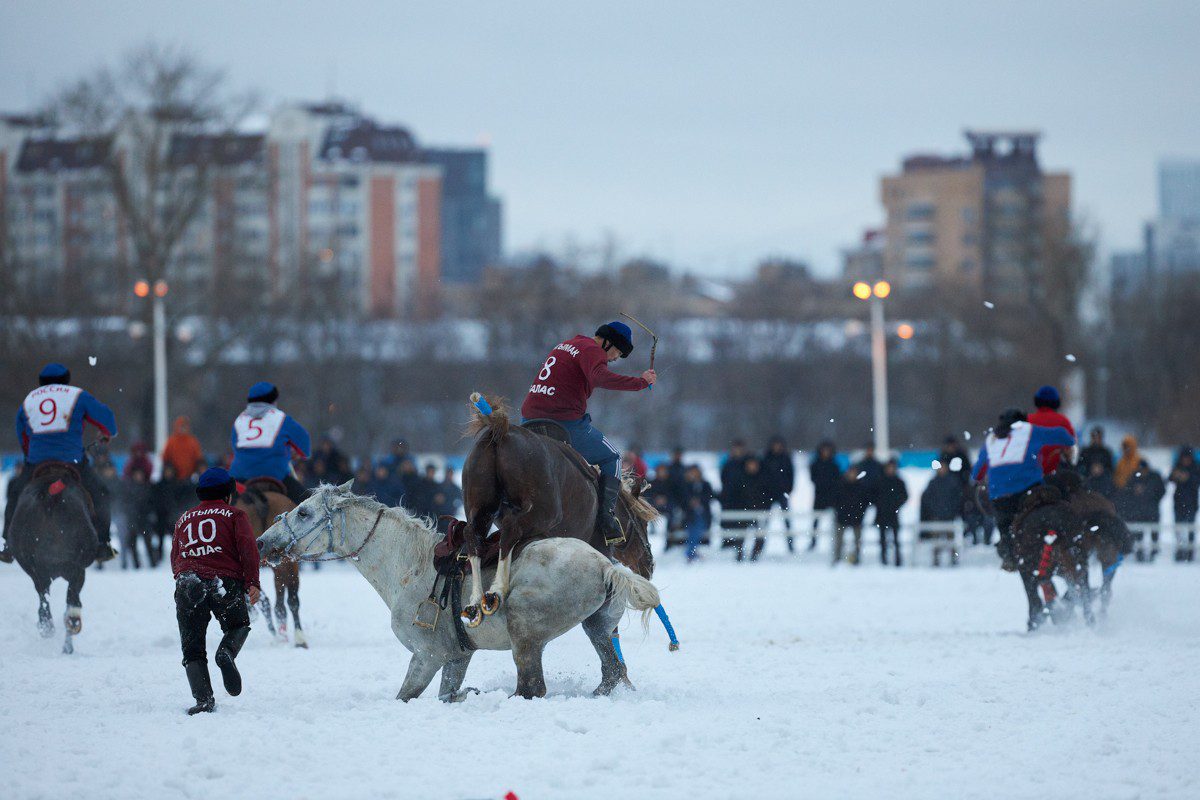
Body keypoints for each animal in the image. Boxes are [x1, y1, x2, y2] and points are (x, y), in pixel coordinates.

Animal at [7, 460, 97, 652]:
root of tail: (51, 495)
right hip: (73, 567)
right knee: (68, 600)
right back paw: (67, 629)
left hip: (42, 566)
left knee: (48, 596)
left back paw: (51, 627)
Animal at [256, 482, 662, 700]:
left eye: (305, 513)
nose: (263, 542)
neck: (409, 565)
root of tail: (608, 566)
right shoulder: (456, 657)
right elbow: (445, 694)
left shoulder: (427, 656)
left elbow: (405, 696)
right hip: (598, 627)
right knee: (613, 671)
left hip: (524, 633)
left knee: (532, 686)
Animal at [458, 398, 662, 628]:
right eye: (644, 524)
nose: (649, 563)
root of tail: (500, 432)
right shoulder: (598, 547)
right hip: (543, 513)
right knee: (510, 530)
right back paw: (496, 591)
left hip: (480, 509)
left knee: (473, 536)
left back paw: (475, 601)